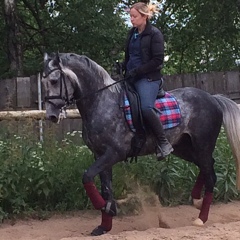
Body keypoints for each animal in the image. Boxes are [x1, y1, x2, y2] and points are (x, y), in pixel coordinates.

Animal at [42, 53, 240, 236]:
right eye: (44, 82)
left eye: (54, 81)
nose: (51, 115)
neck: (101, 102)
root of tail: (213, 98)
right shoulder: (99, 155)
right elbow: (105, 188)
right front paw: (104, 225)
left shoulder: (114, 154)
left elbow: (87, 177)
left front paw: (106, 207)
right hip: (184, 148)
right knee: (206, 168)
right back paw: (196, 199)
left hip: (202, 146)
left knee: (210, 175)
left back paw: (201, 218)